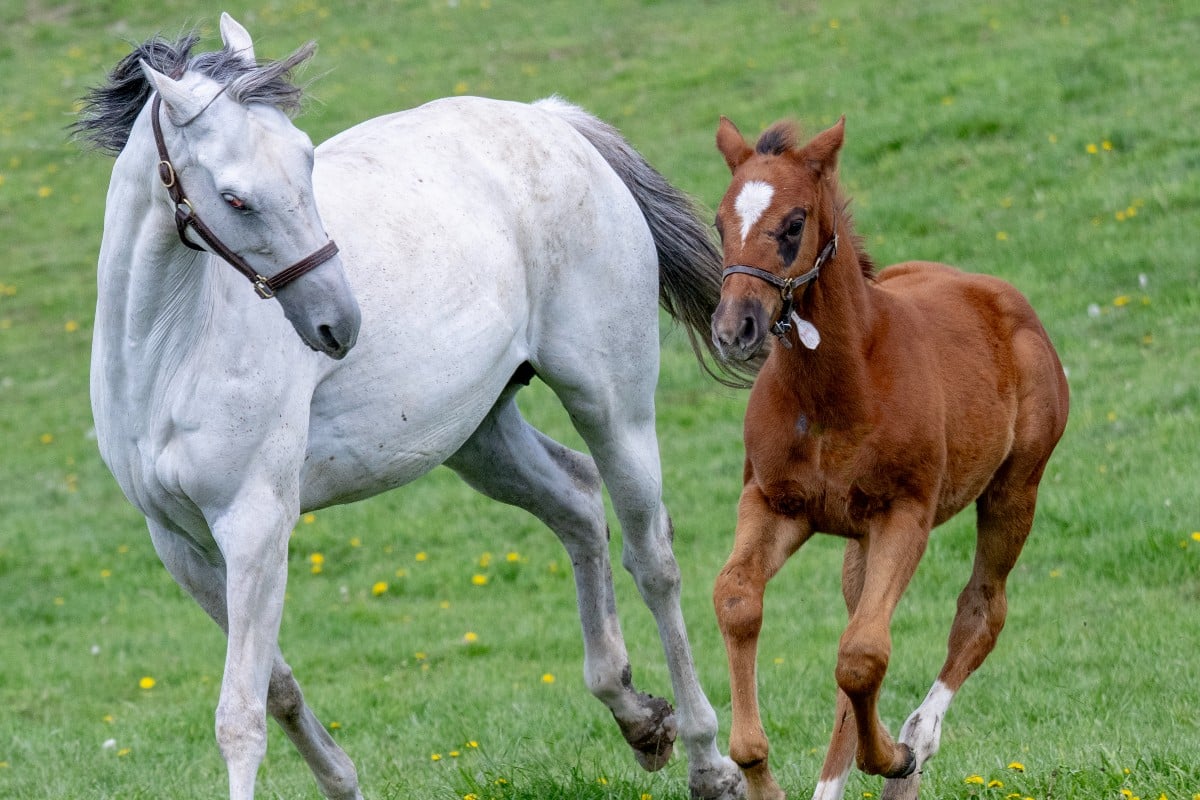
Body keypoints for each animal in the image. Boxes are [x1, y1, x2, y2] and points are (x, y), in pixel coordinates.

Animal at [74, 15, 749, 800]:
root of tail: (552, 121)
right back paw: (639, 718)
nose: (339, 323)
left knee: (653, 559)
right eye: (236, 199)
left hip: (612, 405)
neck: (169, 352)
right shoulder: (181, 544)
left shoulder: (255, 526)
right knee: (578, 501)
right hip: (479, 437)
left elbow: (239, 715)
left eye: (307, 163)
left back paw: (710, 761)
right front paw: (342, 782)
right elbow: (277, 690)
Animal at [707, 115, 1069, 800]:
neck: (835, 391)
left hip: (1015, 489)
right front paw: (755, 768)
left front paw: (899, 756)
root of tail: (1004, 299)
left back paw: (917, 740)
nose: (734, 328)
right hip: (858, 535)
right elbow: (739, 599)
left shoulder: (905, 514)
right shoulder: (772, 502)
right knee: (857, 630)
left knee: (980, 610)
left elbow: (864, 655)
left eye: (793, 224)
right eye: (718, 222)